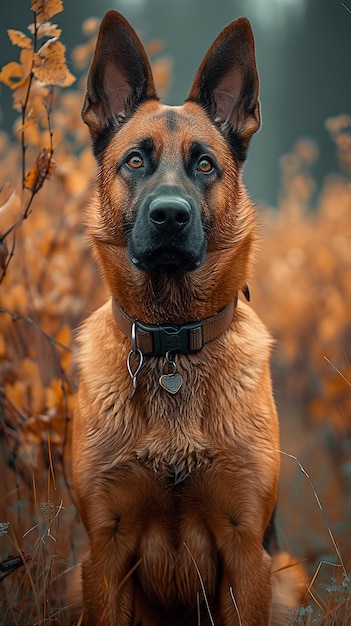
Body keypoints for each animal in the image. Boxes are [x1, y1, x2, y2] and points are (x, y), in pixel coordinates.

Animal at [73, 11, 306, 624]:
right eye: (136, 160)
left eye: (205, 165)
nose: (170, 216)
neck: (174, 343)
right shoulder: (104, 552)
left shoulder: (247, 552)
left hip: (287, 576)